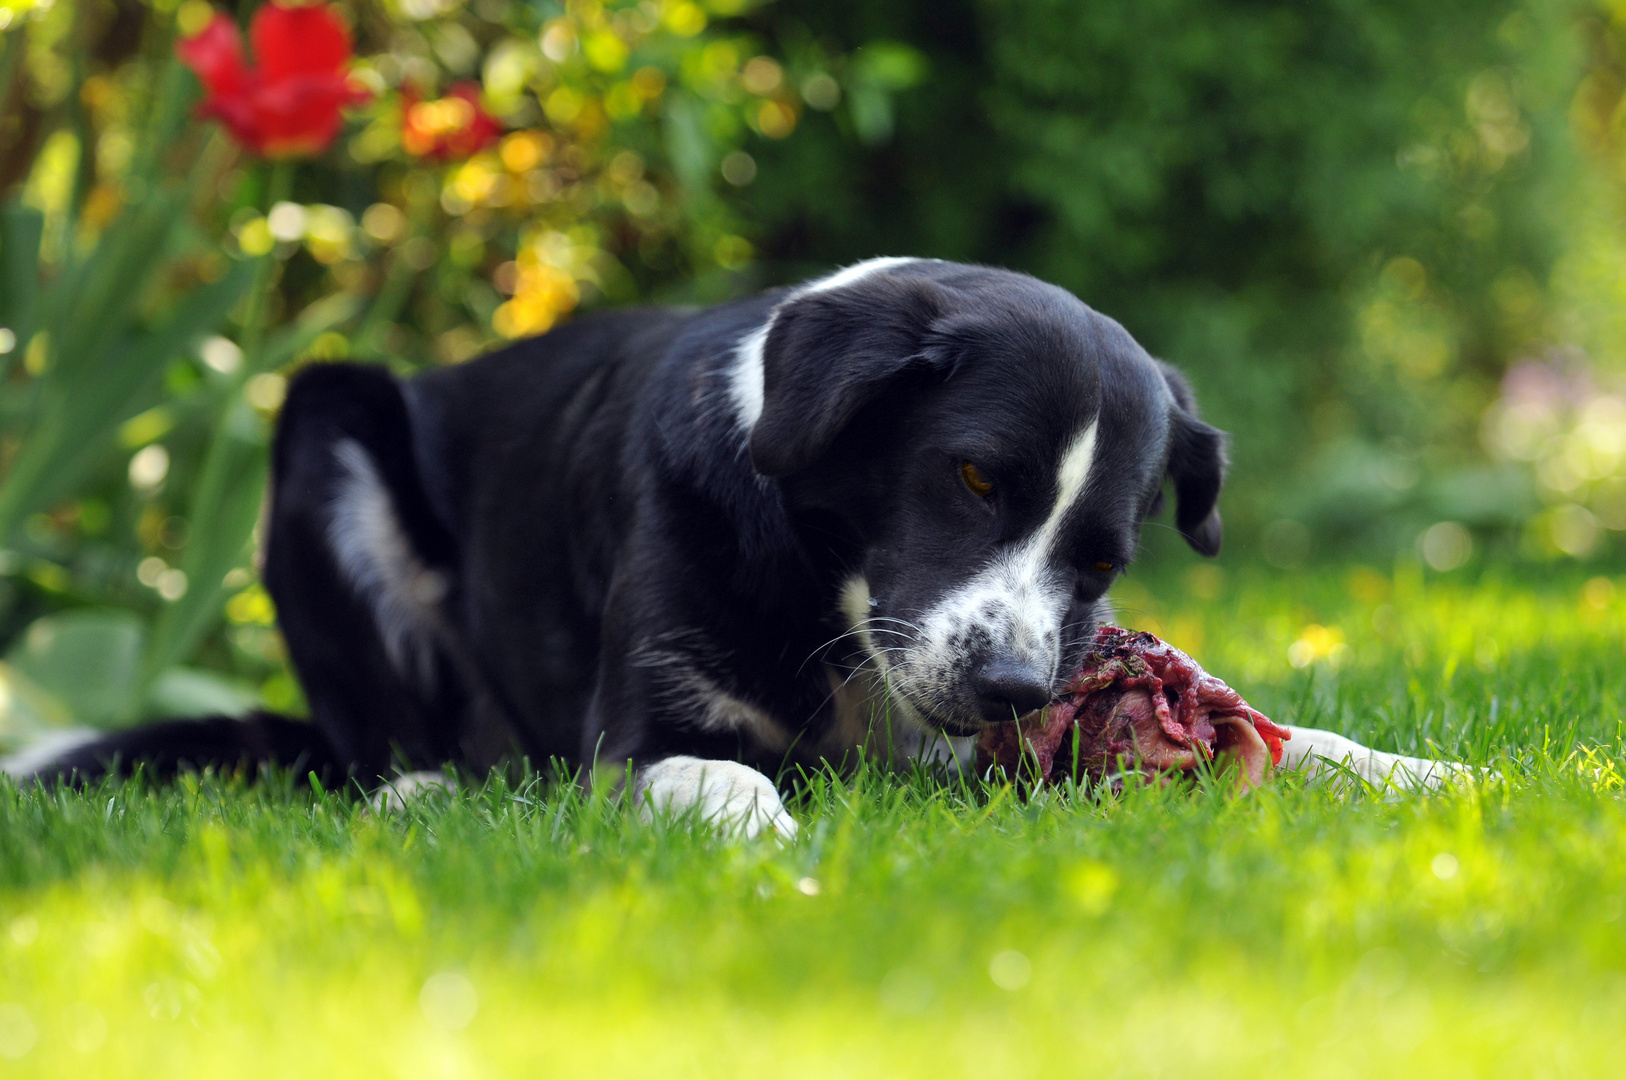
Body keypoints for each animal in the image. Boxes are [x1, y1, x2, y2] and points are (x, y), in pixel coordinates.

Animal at [9, 256, 1463, 829]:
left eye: (1103, 560)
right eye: (972, 476)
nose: (1012, 690)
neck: (831, 596)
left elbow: (1294, 737)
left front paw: (1414, 769)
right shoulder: (640, 733)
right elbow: (712, 774)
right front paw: (765, 836)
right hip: (326, 419)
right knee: (378, 743)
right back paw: (425, 787)